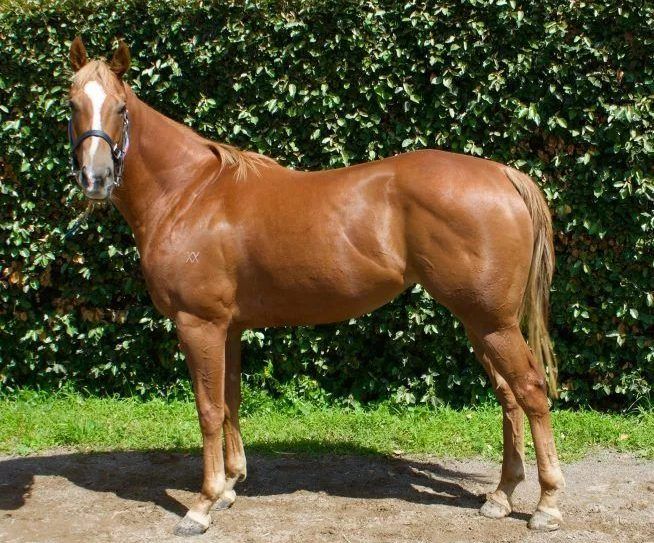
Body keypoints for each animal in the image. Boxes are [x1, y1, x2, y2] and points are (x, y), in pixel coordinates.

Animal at [66, 37, 565, 535]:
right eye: (72, 105)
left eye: (121, 108)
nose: (95, 180)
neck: (191, 193)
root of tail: (503, 175)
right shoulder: (228, 328)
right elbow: (231, 400)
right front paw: (229, 487)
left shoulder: (199, 325)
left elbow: (208, 410)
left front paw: (202, 505)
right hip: (481, 323)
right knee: (508, 396)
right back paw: (501, 496)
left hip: (493, 323)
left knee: (531, 391)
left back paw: (547, 505)